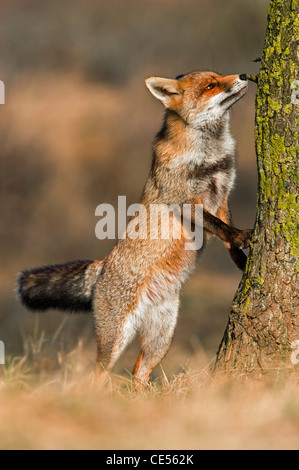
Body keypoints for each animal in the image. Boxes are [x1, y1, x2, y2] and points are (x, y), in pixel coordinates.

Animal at [17, 70, 253, 386]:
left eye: (218, 77)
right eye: (211, 85)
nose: (243, 74)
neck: (210, 157)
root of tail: (103, 265)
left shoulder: (222, 198)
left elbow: (226, 234)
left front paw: (242, 261)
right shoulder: (184, 201)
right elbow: (223, 229)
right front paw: (243, 237)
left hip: (161, 337)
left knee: (138, 372)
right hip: (117, 338)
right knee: (97, 375)